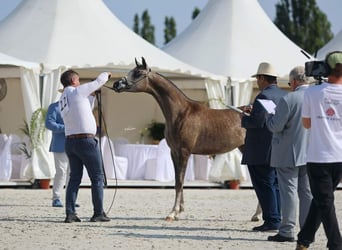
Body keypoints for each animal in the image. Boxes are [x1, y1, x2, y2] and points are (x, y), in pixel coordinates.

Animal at [113, 57, 246, 221]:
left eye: (138, 73)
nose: (116, 84)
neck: (181, 113)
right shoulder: (174, 152)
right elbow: (177, 181)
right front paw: (179, 210)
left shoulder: (184, 152)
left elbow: (181, 181)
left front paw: (172, 213)